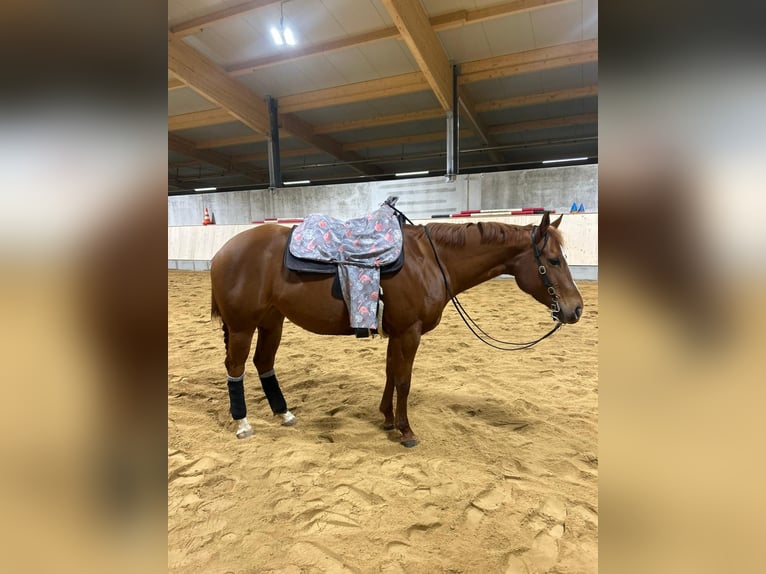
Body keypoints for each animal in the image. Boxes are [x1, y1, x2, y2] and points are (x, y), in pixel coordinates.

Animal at [210, 211, 583, 447]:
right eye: (553, 261)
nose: (576, 308)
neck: (429, 261)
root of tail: (222, 252)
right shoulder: (408, 332)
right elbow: (404, 380)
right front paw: (405, 431)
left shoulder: (397, 333)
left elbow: (390, 373)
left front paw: (387, 419)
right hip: (242, 326)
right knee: (235, 367)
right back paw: (243, 423)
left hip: (272, 321)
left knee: (264, 363)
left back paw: (284, 413)